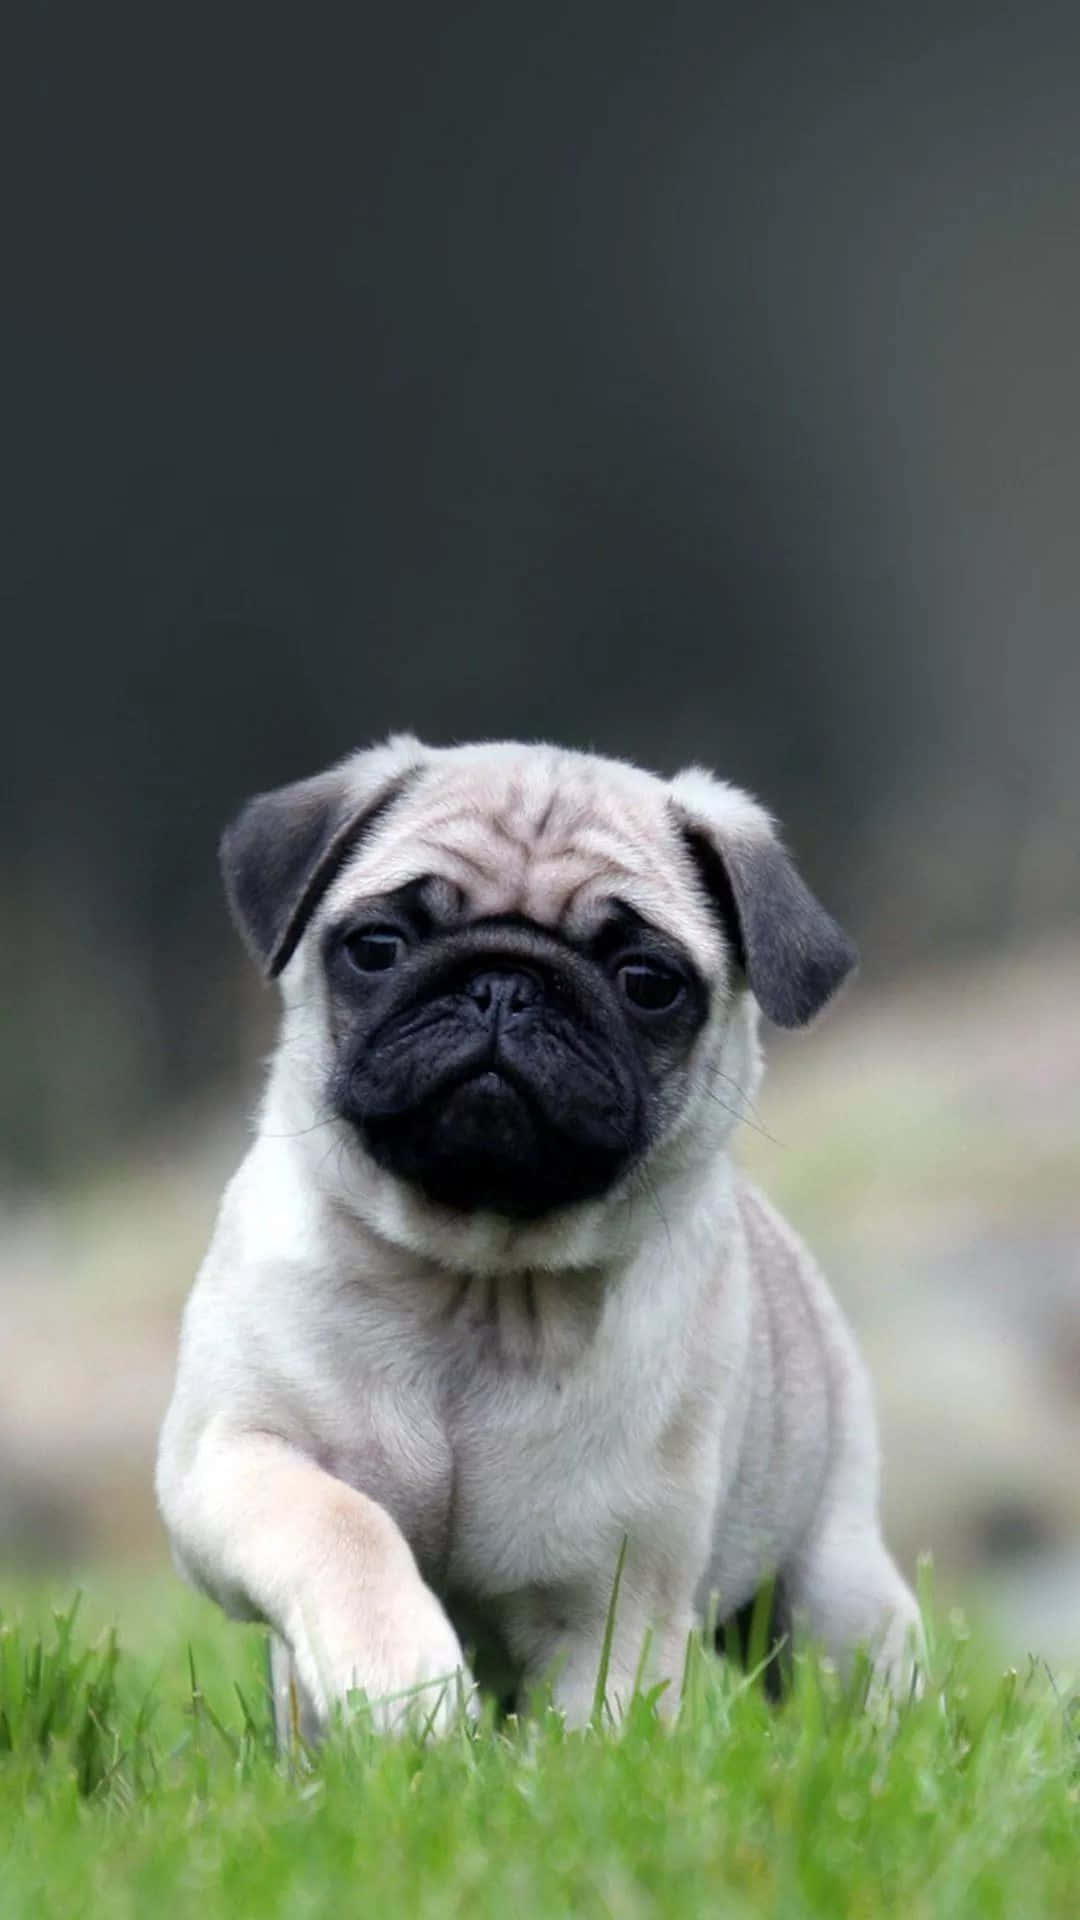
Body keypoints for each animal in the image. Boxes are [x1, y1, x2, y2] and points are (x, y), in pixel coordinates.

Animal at [155, 737, 914, 1743]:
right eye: (377, 946)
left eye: (647, 982)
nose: (504, 984)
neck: (476, 1284)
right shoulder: (236, 1456)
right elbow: (341, 1525)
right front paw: (402, 1684)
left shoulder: (613, 1606)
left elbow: (601, 1729)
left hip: (834, 1583)